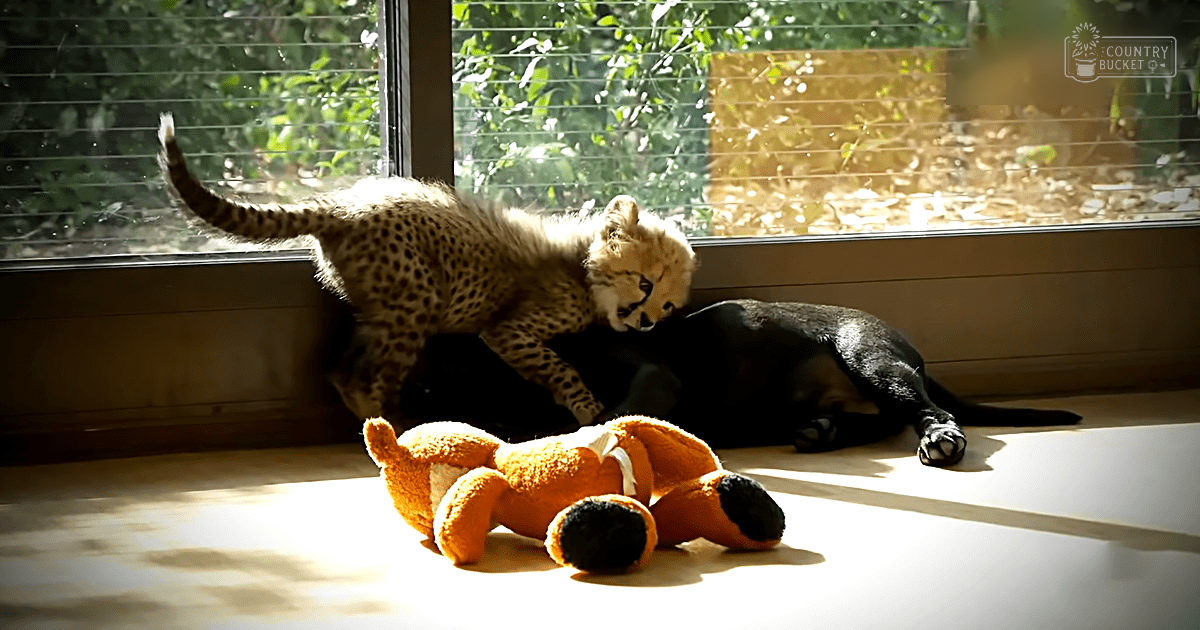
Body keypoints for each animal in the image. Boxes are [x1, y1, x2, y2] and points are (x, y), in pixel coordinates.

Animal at [156, 113, 697, 427]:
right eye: (644, 283)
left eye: (668, 305)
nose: (647, 322)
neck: (584, 265)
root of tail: (346, 204)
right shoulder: (508, 331)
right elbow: (558, 366)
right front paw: (587, 407)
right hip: (416, 301)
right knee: (368, 380)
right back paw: (394, 429)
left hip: (383, 307)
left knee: (341, 368)